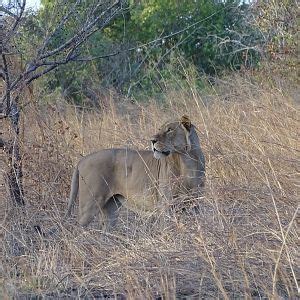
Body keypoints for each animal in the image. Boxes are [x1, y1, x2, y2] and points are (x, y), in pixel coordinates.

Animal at [65, 116, 205, 229]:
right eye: (160, 129)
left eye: (170, 130)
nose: (152, 140)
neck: (186, 161)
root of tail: (82, 160)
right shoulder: (165, 206)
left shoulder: (196, 204)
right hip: (89, 204)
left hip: (111, 208)